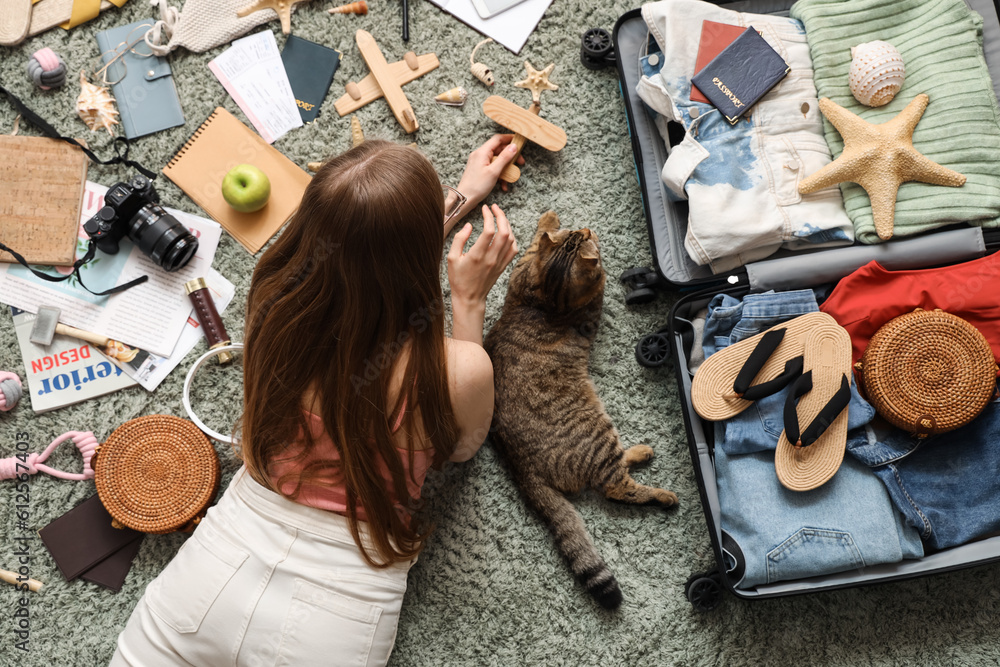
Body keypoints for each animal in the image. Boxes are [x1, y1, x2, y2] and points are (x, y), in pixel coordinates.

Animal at [480, 210, 676, 612]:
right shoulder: (589, 301)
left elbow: (534, 243)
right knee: (616, 487)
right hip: (599, 435)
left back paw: (640, 451)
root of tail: (520, 465)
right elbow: (597, 284)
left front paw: (547, 222)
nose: (586, 229)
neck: (545, 302)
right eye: (588, 240)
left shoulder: (523, 270)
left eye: (576, 233)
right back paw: (663, 494)